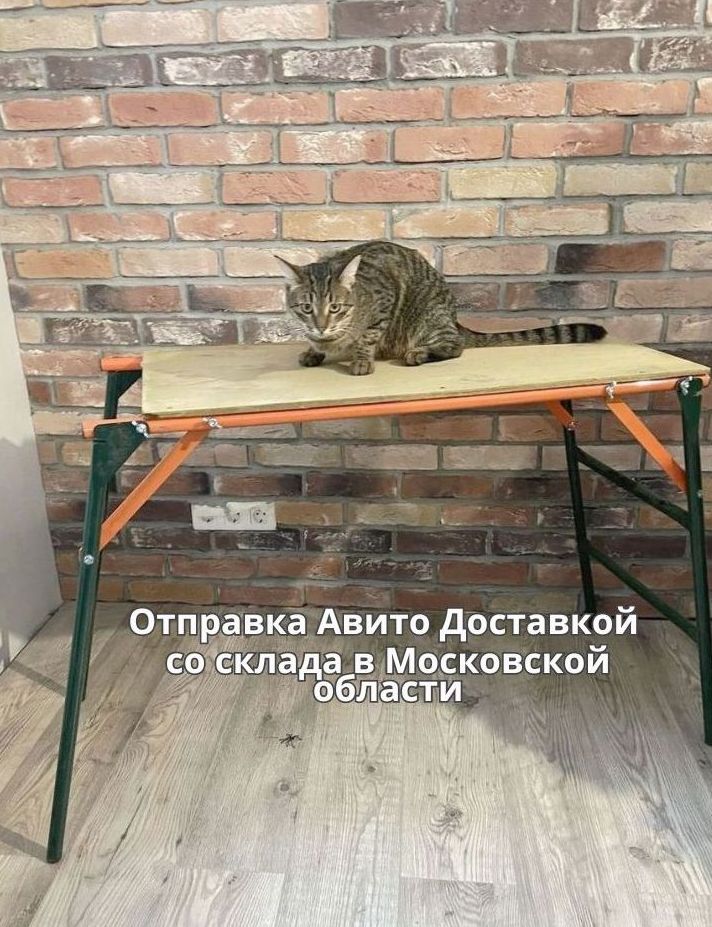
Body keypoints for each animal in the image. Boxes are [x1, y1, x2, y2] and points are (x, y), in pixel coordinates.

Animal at [276, 240, 606, 376]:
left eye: (335, 307)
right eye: (306, 307)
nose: (320, 325)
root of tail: (455, 318)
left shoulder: (385, 299)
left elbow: (368, 336)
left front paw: (360, 358)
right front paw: (313, 350)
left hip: (427, 318)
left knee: (454, 345)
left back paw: (420, 353)